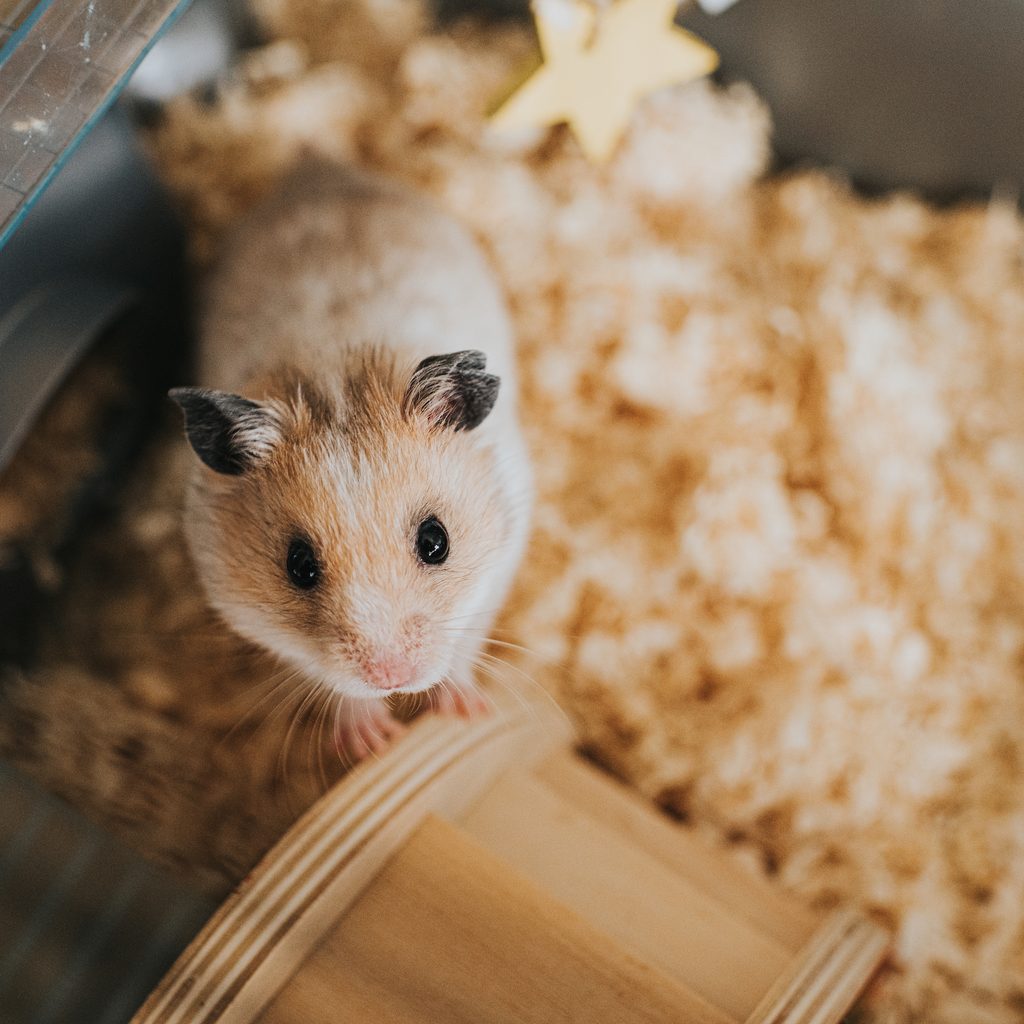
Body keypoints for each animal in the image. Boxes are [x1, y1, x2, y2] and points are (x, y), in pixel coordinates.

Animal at [171, 163, 531, 759]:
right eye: (298, 566)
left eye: (436, 541)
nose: (392, 679)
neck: (335, 384)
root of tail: (317, 168)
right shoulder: (246, 611)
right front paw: (372, 743)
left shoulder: (502, 558)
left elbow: (464, 645)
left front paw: (465, 712)